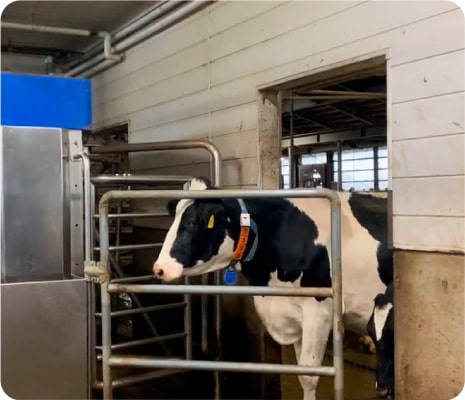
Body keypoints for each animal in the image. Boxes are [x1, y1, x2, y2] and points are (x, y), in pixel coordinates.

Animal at [152, 177, 392, 400]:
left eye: (192, 222)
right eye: (174, 219)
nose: (159, 268)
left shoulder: (320, 310)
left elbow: (309, 375)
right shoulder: (293, 313)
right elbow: (301, 372)